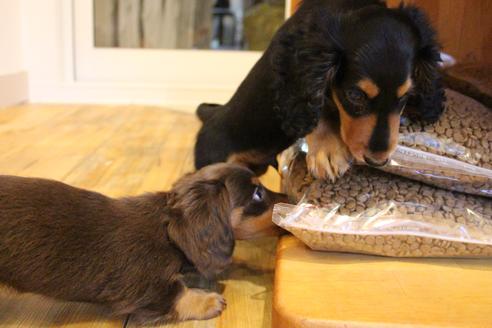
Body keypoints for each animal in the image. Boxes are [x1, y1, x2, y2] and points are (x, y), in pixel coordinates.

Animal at [0, 163, 288, 322]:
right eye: (257, 193)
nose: (291, 198)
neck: (167, 233)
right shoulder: (143, 290)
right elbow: (177, 295)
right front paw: (206, 301)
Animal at [195, 0, 446, 179]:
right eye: (355, 95)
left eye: (406, 95)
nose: (377, 160)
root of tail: (212, 115)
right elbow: (316, 102)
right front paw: (328, 152)